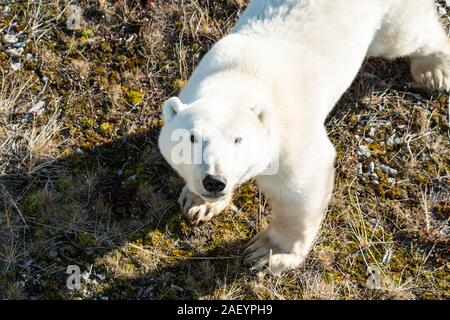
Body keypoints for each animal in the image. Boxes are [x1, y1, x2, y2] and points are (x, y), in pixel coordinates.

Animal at [158, 0, 450, 276]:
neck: (238, 76)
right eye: (192, 138)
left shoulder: (288, 133)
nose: (214, 181)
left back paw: (434, 70)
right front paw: (197, 204)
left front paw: (268, 252)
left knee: (404, 37)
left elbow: (299, 189)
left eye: (239, 140)